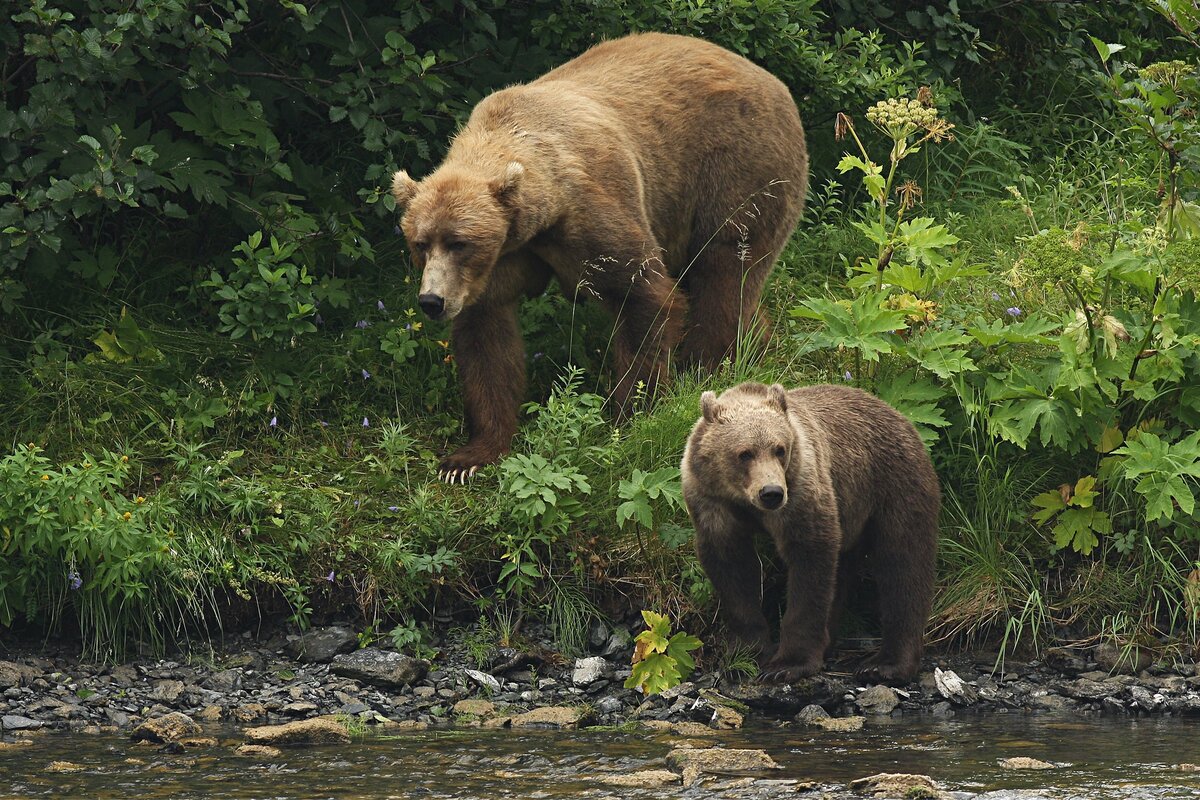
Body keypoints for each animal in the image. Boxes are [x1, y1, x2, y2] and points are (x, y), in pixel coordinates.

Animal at [391, 31, 806, 482]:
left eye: (460, 242)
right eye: (419, 243)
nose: (431, 301)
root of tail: (774, 81)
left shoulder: (591, 212)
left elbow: (643, 296)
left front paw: (628, 415)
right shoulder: (500, 261)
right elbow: (487, 341)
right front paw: (470, 456)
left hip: (736, 169)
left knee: (724, 270)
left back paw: (712, 369)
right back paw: (755, 351)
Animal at [686, 381, 936, 681]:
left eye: (779, 449)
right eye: (744, 453)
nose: (771, 492)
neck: (744, 501)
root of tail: (899, 415)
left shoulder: (801, 490)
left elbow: (809, 562)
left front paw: (787, 664)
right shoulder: (712, 501)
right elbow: (732, 568)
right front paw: (747, 651)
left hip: (894, 484)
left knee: (903, 563)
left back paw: (885, 663)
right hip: (851, 512)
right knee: (844, 570)